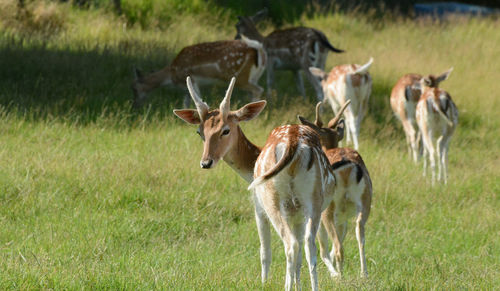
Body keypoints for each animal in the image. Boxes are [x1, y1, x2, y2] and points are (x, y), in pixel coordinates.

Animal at [131, 36, 268, 109]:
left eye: (134, 89)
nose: (135, 104)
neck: (171, 74)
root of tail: (259, 49)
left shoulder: (191, 78)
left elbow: (197, 99)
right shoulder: (186, 87)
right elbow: (186, 102)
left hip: (238, 76)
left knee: (258, 89)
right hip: (254, 76)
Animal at [174, 76, 350, 290]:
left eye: (226, 130)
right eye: (200, 132)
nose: (206, 162)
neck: (250, 169)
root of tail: (293, 142)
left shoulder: (257, 205)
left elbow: (264, 252)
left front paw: (265, 282)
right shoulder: (297, 213)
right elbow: (300, 254)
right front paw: (298, 285)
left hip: (271, 199)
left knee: (290, 244)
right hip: (312, 199)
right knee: (309, 245)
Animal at [296, 101, 372, 280]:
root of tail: (347, 169)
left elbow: (324, 250)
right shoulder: (343, 218)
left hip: (326, 210)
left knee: (335, 249)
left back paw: (339, 276)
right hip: (365, 202)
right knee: (360, 235)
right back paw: (363, 274)